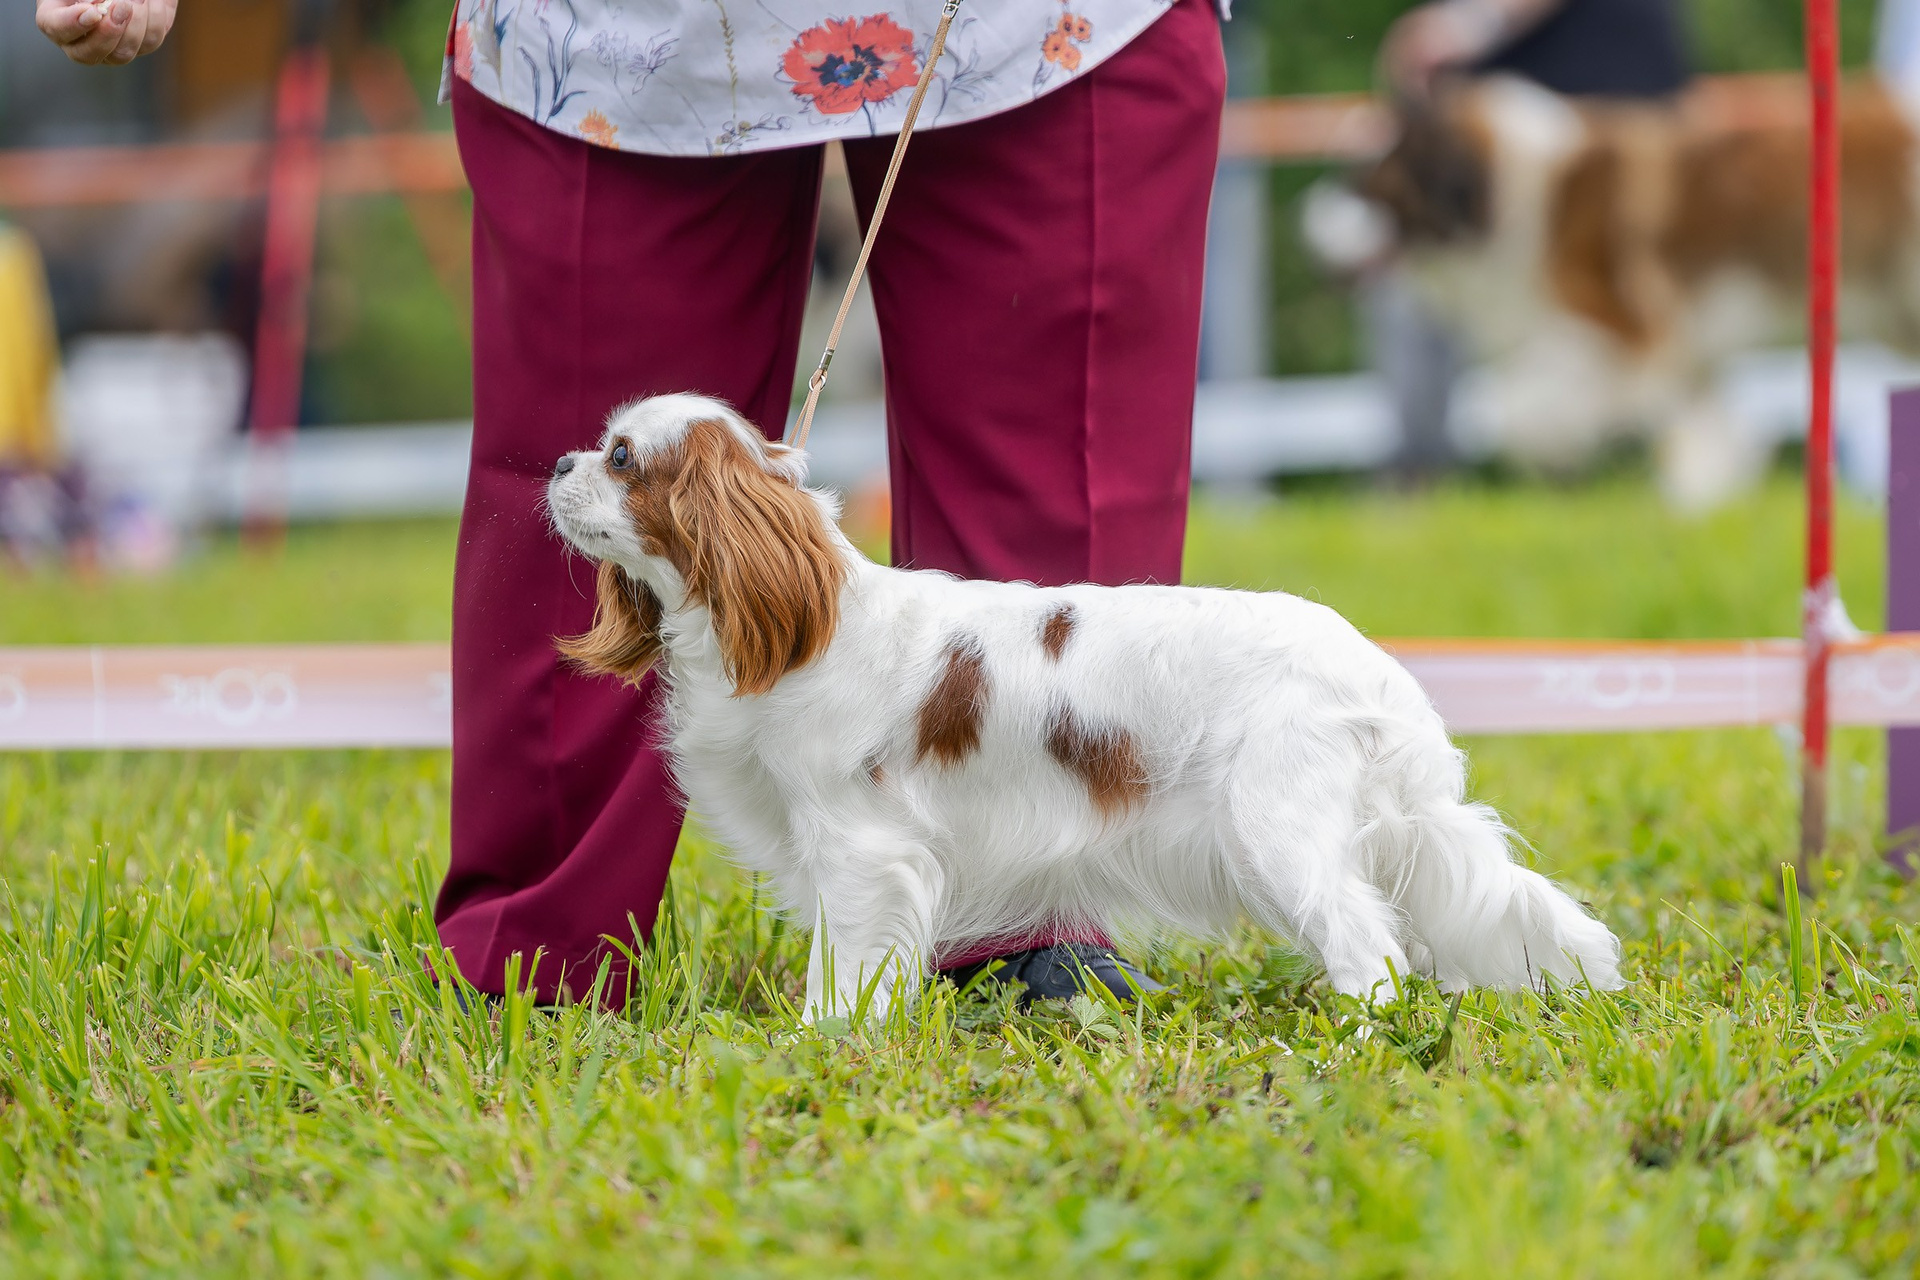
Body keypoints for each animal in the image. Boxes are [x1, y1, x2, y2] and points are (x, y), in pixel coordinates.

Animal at [545, 393, 1623, 1018]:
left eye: (623, 458)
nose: (557, 462)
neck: (801, 618)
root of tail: (1376, 670)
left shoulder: (862, 850)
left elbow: (846, 975)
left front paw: (823, 1046)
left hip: (1277, 832)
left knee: (1371, 948)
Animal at [1307, 75, 1920, 509]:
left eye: (1369, 188)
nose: (1307, 222)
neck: (1515, 197)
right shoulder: (1679, 347)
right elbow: (1705, 423)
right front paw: (1702, 500)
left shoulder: (1614, 330)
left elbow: (1516, 410)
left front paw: (1559, 451)